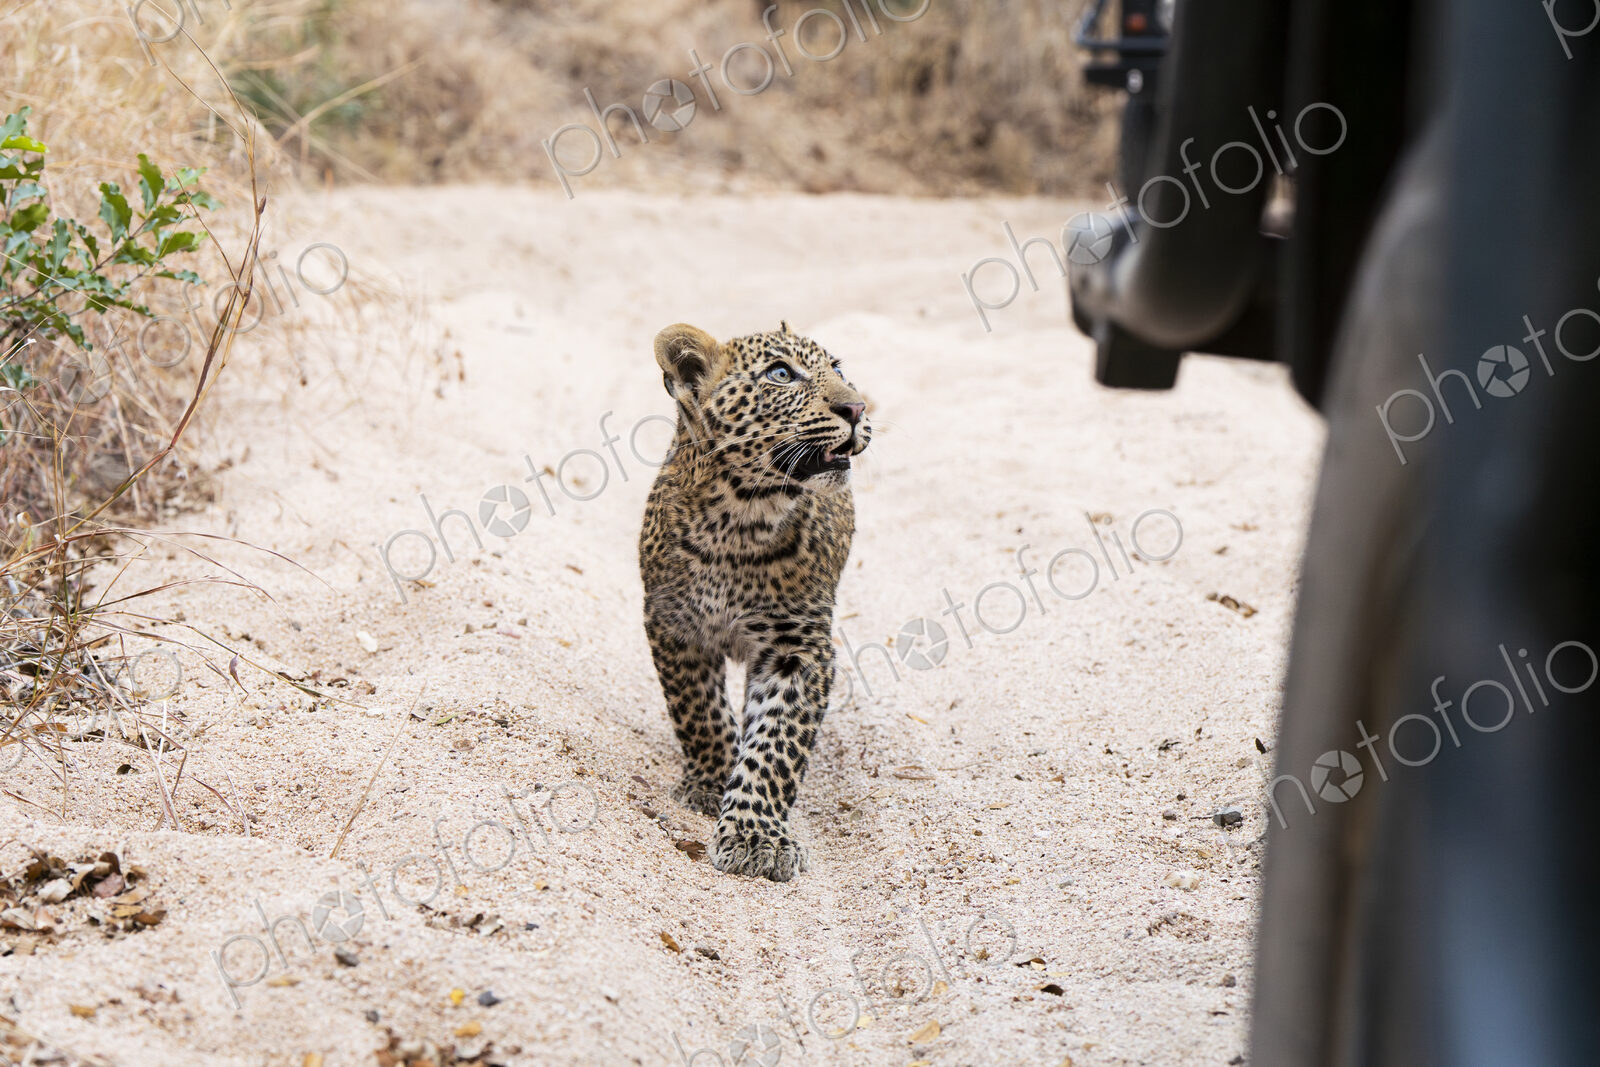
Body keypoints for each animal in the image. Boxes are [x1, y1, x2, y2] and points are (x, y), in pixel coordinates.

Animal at [639, 321, 871, 882]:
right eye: (781, 374)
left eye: (838, 368)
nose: (857, 407)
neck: (740, 519)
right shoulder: (672, 624)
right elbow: (697, 712)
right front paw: (712, 780)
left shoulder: (798, 648)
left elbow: (774, 747)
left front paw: (753, 835)